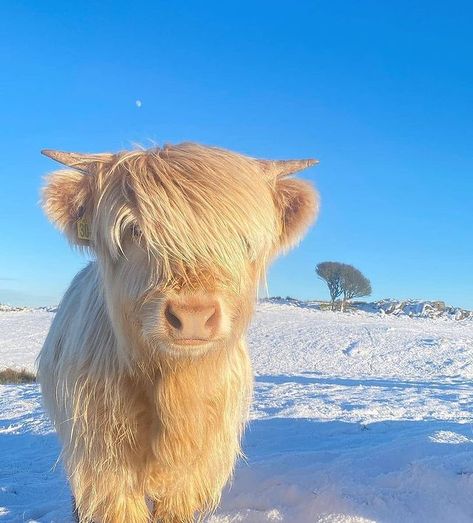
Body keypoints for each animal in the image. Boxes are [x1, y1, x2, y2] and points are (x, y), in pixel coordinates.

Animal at [37, 143, 318, 523]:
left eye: (242, 239)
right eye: (135, 230)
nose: (193, 315)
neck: (174, 385)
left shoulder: (195, 470)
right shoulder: (104, 463)